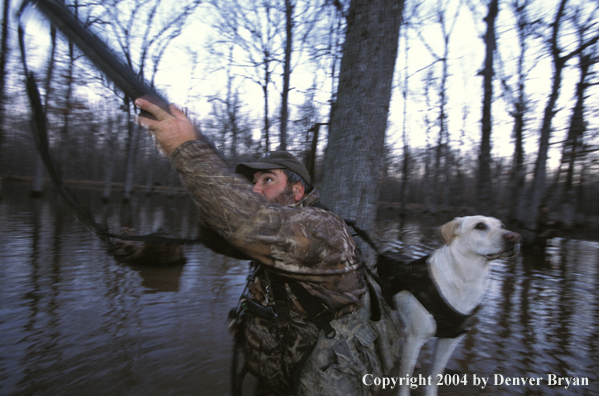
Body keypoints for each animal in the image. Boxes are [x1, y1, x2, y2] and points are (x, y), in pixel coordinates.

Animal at [380, 217, 520, 396]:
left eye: (502, 226)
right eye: (480, 226)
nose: (515, 237)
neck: (467, 278)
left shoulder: (452, 338)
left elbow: (436, 374)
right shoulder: (417, 337)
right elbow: (406, 377)